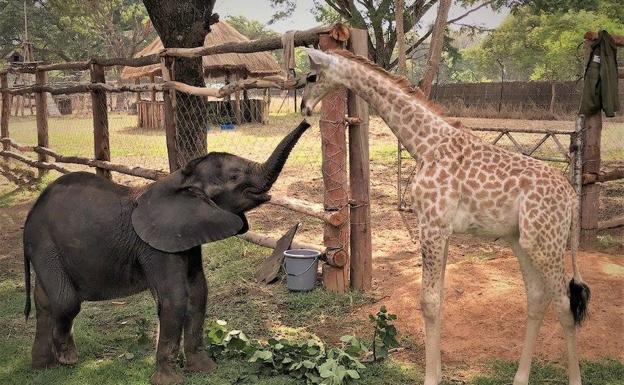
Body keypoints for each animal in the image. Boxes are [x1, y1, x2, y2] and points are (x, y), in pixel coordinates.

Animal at [24, 119, 312, 380]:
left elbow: (198, 293)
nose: (308, 119)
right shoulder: (155, 246)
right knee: (65, 300)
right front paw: (170, 380)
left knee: (45, 302)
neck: (181, 179)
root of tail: (30, 215)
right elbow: (175, 298)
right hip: (45, 244)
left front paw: (205, 370)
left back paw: (42, 368)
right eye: (235, 177)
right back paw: (67, 359)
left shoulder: (187, 236)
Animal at [302, 47, 588, 384]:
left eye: (310, 76)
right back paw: (520, 378)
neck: (424, 145)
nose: (305, 107)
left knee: (565, 305)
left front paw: (429, 377)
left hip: (546, 244)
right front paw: (436, 373)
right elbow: (436, 300)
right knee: (537, 297)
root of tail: (572, 199)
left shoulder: (431, 226)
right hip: (523, 241)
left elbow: (428, 302)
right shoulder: (443, 231)